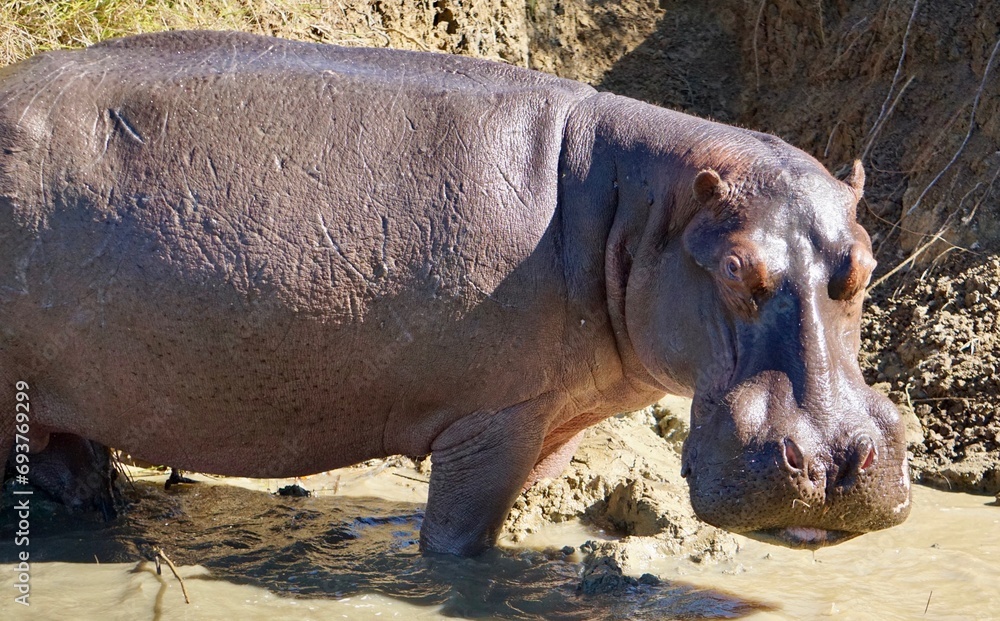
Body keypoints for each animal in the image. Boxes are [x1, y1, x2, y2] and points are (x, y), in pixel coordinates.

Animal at [0, 31, 910, 556]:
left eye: (866, 261)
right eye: (733, 267)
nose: (835, 460)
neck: (639, 206)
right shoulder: (495, 417)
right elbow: (459, 542)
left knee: (67, 462)